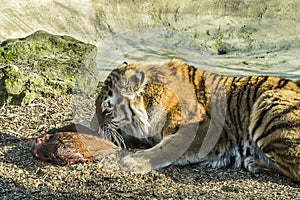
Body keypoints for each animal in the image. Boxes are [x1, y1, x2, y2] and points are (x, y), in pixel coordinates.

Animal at [49, 59, 300, 181]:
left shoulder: (200, 128)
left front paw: (134, 160)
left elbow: (167, 148)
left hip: (269, 102)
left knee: (295, 170)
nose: (95, 125)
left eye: (107, 110)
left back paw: (255, 162)